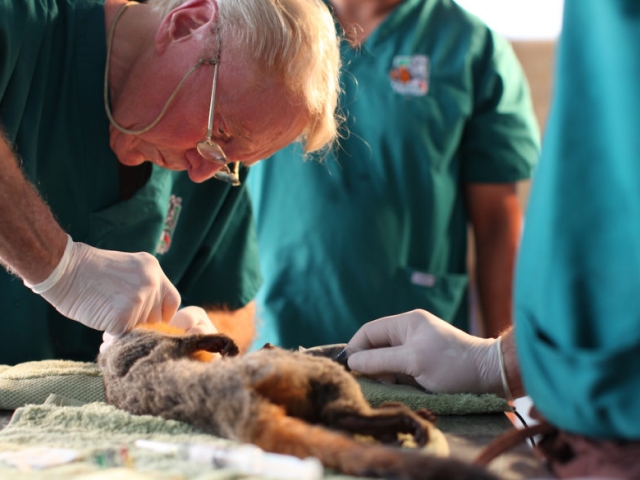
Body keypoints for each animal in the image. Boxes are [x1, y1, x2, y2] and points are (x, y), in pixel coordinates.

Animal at [98, 325, 499, 480]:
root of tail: (227, 408)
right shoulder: (150, 346)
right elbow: (187, 342)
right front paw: (221, 342)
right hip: (302, 373)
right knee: (338, 413)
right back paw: (395, 421)